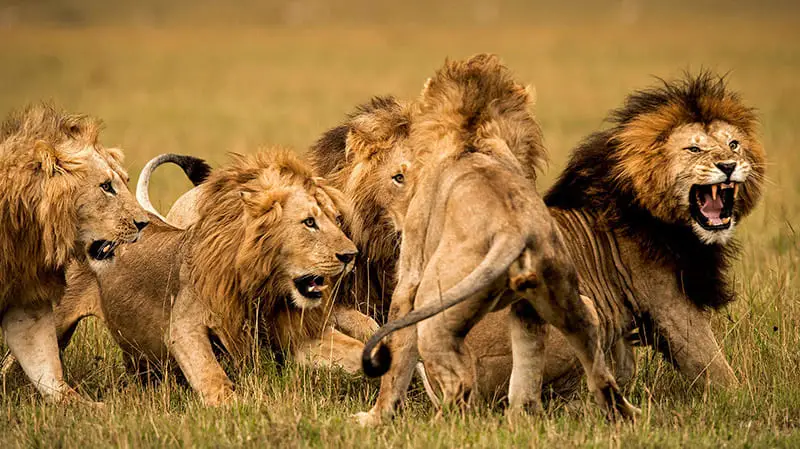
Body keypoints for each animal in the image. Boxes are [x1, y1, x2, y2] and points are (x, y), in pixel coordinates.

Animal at [44, 149, 362, 405]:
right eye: (309, 222)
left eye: (337, 219)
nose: (351, 255)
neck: (264, 288)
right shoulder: (185, 327)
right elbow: (212, 378)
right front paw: (238, 407)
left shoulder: (296, 335)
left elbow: (355, 349)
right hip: (56, 321)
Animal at [353, 54, 638, 425]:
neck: (472, 136)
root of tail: (512, 230)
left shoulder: (409, 276)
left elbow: (396, 357)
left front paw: (376, 417)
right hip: (564, 301)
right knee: (586, 367)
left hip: (435, 309)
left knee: (460, 384)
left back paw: (437, 425)